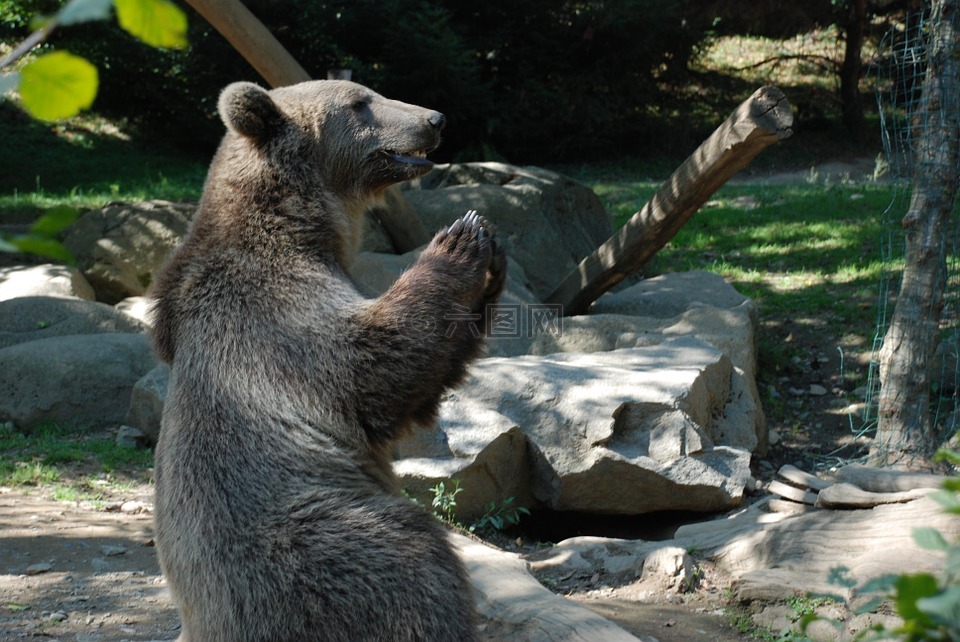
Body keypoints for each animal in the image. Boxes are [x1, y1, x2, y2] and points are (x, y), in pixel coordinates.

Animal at [149, 80, 506, 640]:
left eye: (371, 93)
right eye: (361, 103)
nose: (435, 119)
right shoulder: (273, 316)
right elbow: (374, 366)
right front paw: (461, 237)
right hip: (315, 541)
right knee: (413, 563)